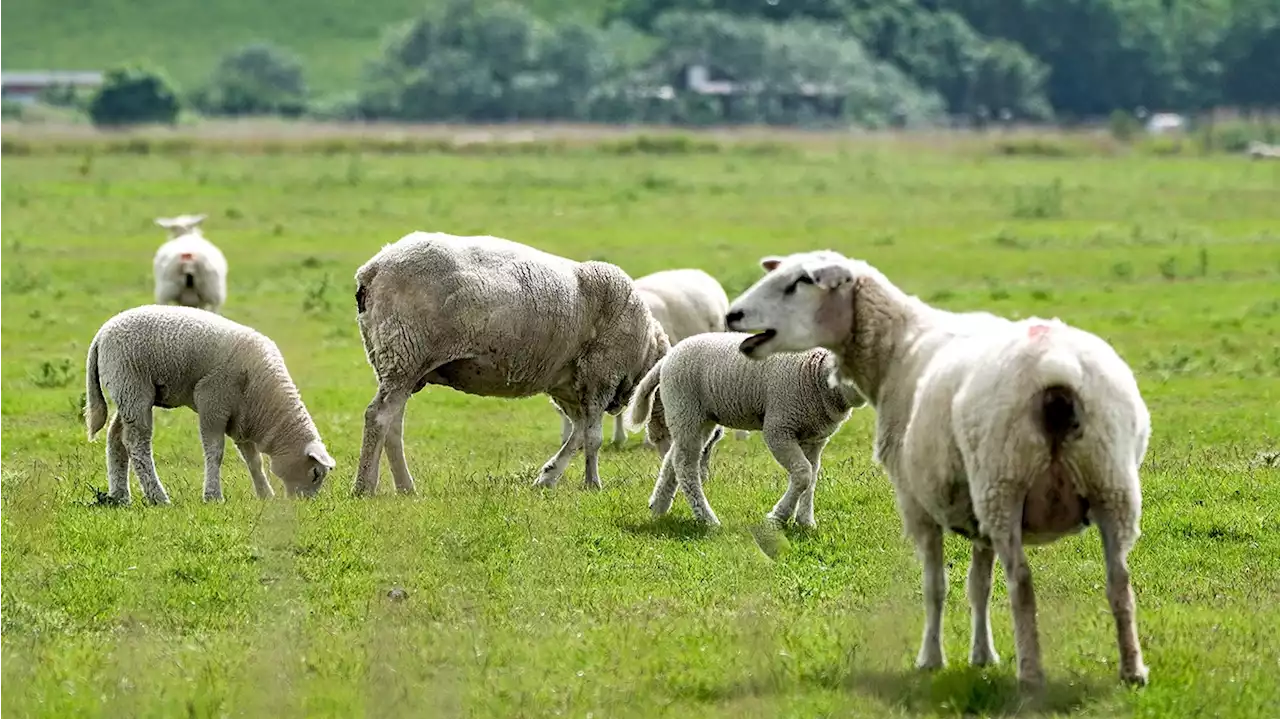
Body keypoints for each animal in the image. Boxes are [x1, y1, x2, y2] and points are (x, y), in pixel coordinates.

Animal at [82, 304, 337, 501]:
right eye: (315, 473)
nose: (304, 503)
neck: (266, 400)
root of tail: (101, 335)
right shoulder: (212, 401)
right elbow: (215, 452)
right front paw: (213, 496)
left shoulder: (242, 418)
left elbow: (254, 460)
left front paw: (266, 495)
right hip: (133, 386)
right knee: (136, 444)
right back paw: (158, 497)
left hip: (127, 393)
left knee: (116, 439)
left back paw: (120, 496)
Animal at [350, 232, 670, 496]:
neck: (646, 353)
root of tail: (372, 269)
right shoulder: (600, 375)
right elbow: (592, 438)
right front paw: (592, 484)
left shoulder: (568, 385)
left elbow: (577, 434)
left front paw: (547, 477)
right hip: (406, 352)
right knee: (378, 416)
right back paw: (364, 486)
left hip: (400, 362)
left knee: (393, 424)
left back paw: (405, 487)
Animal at [624, 332, 865, 527]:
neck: (815, 374)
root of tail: (668, 357)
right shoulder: (779, 427)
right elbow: (804, 474)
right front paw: (778, 517)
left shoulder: (815, 439)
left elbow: (811, 478)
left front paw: (805, 521)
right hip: (685, 408)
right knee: (686, 466)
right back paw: (707, 519)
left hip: (700, 419)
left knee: (673, 459)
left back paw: (659, 506)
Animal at [727, 249, 1157, 685]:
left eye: (800, 282)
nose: (732, 315)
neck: (895, 350)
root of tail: (1058, 367)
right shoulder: (974, 511)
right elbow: (979, 584)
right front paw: (983, 656)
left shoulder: (917, 499)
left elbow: (935, 585)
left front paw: (931, 659)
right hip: (1110, 482)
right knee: (1119, 581)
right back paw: (1133, 670)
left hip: (1004, 481)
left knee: (1021, 582)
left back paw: (1030, 674)